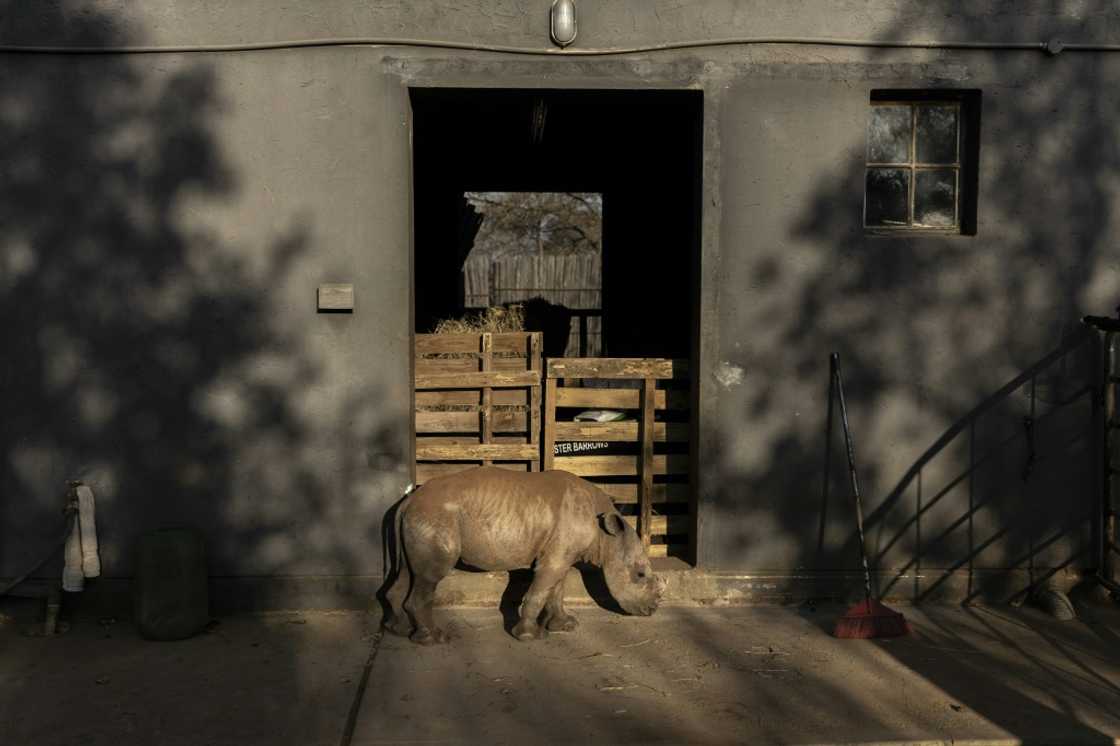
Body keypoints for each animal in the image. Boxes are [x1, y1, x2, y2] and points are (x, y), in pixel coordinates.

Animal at [385, 465, 663, 640]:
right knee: (431, 575)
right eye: (640, 575)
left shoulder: (563, 554)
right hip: (435, 516)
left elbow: (556, 590)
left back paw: (399, 630)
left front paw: (565, 626)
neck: (606, 536)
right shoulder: (556, 558)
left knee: (408, 573)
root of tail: (408, 502)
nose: (651, 610)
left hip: (421, 517)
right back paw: (434, 638)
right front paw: (530, 635)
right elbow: (540, 592)